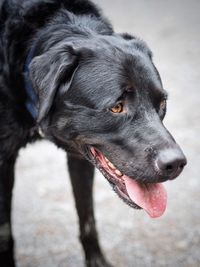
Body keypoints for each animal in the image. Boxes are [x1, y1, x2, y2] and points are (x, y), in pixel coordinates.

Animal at [0, 0, 187, 267]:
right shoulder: (3, 160)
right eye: (116, 107)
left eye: (161, 103)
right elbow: (5, 232)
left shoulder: (81, 157)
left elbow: (87, 217)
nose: (176, 164)